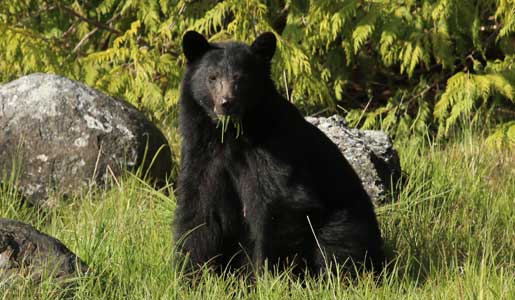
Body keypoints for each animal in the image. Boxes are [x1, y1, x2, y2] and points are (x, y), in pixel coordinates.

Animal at [175, 31, 384, 276]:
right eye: (212, 77)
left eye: (241, 78)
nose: (226, 103)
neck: (229, 137)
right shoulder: (202, 153)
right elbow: (199, 207)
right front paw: (192, 272)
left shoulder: (274, 148)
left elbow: (279, 203)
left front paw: (265, 275)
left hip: (344, 220)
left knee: (336, 245)